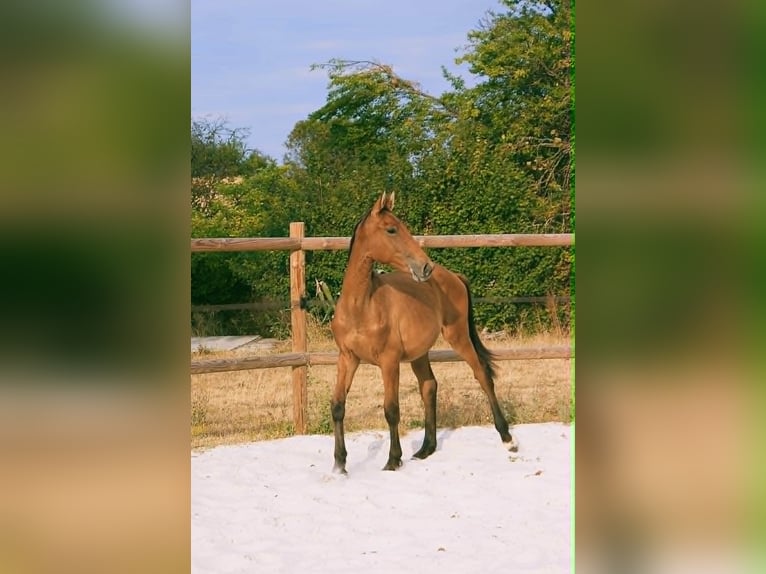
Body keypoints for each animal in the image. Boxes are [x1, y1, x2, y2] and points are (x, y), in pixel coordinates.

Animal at [329, 191, 518, 474]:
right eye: (391, 229)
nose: (425, 267)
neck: (361, 306)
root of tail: (454, 276)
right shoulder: (347, 358)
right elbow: (338, 405)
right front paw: (339, 465)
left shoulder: (389, 361)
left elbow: (391, 409)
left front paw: (393, 460)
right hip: (419, 353)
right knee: (429, 386)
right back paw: (426, 448)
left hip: (458, 337)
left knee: (482, 376)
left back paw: (507, 439)